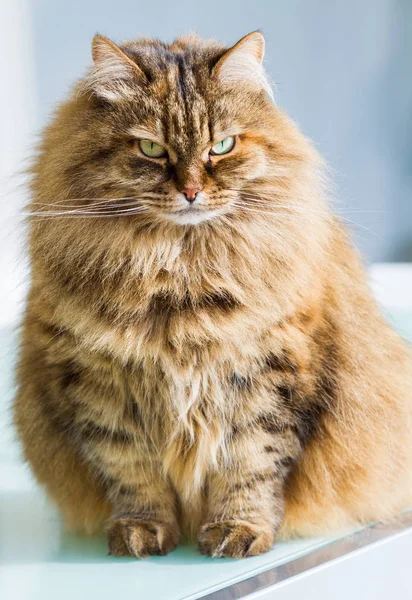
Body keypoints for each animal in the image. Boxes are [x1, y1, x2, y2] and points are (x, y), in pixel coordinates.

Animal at [12, 31, 412, 556]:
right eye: (151, 148)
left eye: (221, 146)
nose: (191, 191)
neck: (178, 279)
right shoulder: (99, 387)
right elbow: (131, 472)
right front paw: (141, 532)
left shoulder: (268, 378)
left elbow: (249, 466)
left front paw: (237, 532)